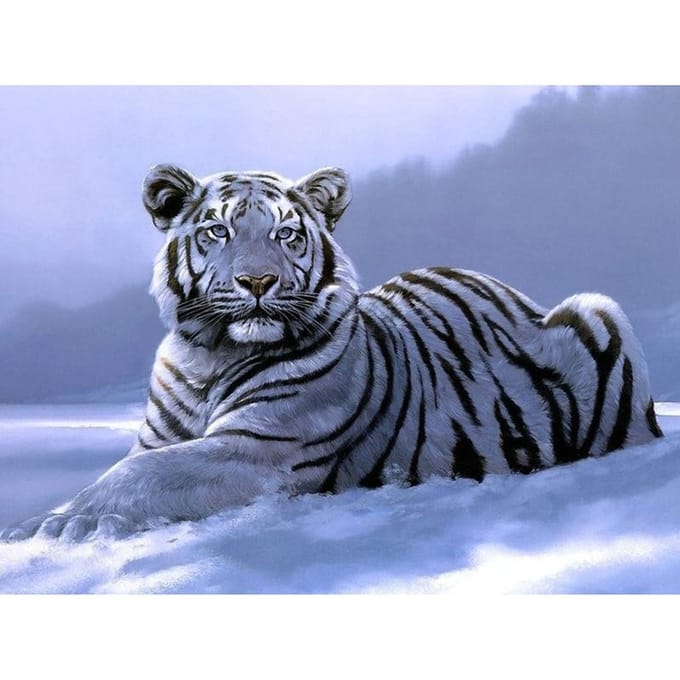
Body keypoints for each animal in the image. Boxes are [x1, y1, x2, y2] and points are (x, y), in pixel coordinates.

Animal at [1, 164, 663, 542]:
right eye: (217, 230)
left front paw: (56, 523)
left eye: (286, 233)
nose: (258, 282)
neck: (208, 356)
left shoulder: (259, 448)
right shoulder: (161, 436)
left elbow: (139, 474)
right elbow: (132, 464)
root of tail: (513, 290)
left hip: (600, 309)